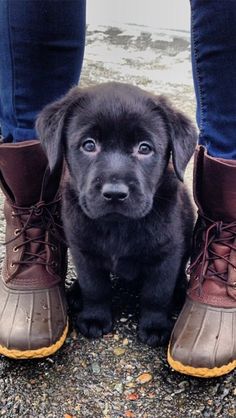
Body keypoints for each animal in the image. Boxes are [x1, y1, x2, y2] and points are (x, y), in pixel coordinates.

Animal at [36, 81, 195, 346]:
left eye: (144, 148)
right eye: (89, 145)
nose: (114, 194)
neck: (118, 226)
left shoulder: (166, 255)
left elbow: (157, 295)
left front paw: (155, 326)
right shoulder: (82, 251)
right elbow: (95, 288)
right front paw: (95, 318)